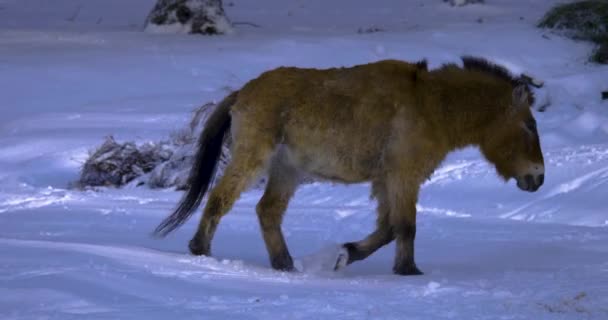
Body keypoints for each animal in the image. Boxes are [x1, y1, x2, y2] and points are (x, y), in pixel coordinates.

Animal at [154, 57, 544, 276]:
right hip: (253, 159)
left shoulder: (388, 181)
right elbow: (405, 227)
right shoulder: (403, 177)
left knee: (267, 211)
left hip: (287, 171)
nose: (538, 177)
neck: (431, 106)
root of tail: (242, 93)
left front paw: (346, 254)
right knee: (220, 199)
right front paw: (408, 271)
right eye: (529, 125)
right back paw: (200, 250)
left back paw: (285, 264)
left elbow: (388, 230)